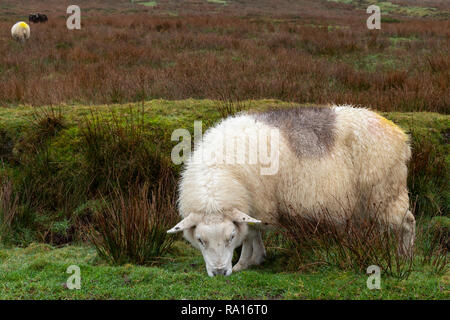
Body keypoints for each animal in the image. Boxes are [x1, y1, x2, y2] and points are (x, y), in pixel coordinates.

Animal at [168, 104, 414, 276]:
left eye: (230, 237)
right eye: (200, 240)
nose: (219, 273)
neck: (217, 176)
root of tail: (401, 136)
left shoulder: (259, 201)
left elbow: (250, 235)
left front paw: (244, 263)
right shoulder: (252, 205)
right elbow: (254, 233)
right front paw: (257, 257)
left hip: (385, 192)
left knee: (408, 222)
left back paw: (405, 256)